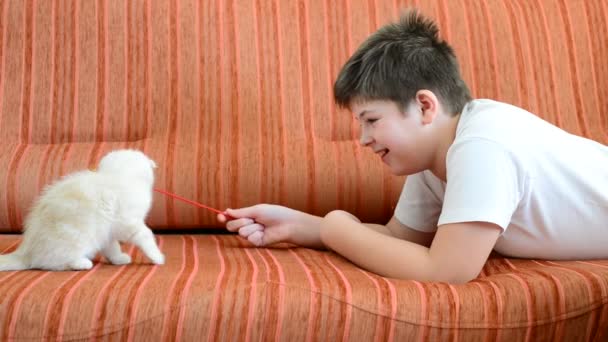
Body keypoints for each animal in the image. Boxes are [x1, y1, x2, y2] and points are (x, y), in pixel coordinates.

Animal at [0, 148, 165, 272]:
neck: (117, 176)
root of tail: (25, 252)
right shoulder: (128, 223)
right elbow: (146, 236)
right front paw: (157, 257)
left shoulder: (108, 231)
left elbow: (112, 247)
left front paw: (118, 259)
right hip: (76, 237)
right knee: (49, 263)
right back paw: (82, 263)